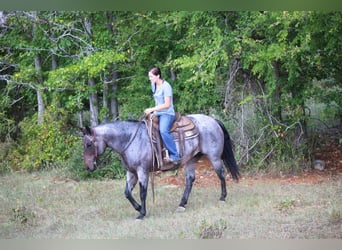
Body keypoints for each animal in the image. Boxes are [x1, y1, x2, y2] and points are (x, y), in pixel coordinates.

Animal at [81, 114, 239, 220]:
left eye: (88, 144)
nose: (88, 167)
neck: (130, 139)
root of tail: (213, 120)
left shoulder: (142, 171)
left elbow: (143, 193)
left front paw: (142, 213)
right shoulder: (131, 172)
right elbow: (127, 193)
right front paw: (139, 208)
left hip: (214, 157)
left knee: (221, 174)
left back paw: (222, 197)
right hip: (190, 160)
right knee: (190, 180)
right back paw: (182, 204)